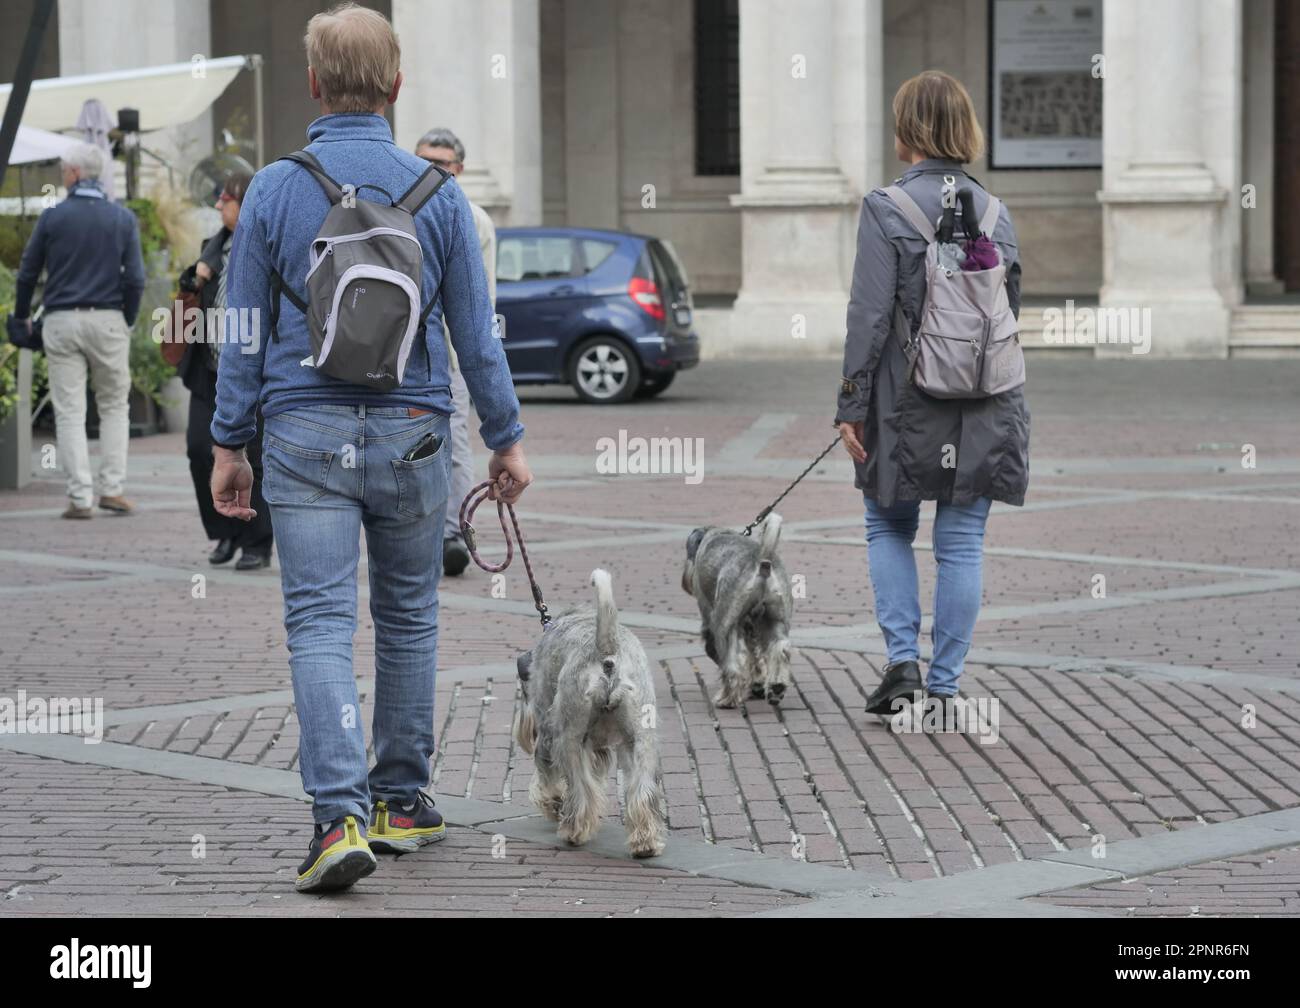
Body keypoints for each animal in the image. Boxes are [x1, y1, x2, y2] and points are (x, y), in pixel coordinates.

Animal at [512, 567, 665, 858]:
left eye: (522, 690)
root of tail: (607, 651)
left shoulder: (548, 732)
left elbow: (547, 775)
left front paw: (551, 802)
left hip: (568, 738)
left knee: (579, 788)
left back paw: (573, 831)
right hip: (641, 740)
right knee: (641, 791)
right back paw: (645, 842)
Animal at [681, 512, 790, 707]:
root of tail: (763, 562)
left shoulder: (709, 616)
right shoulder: (750, 627)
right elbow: (754, 658)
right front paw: (758, 684)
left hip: (724, 626)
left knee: (731, 664)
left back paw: (726, 699)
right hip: (776, 619)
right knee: (780, 649)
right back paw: (776, 687)